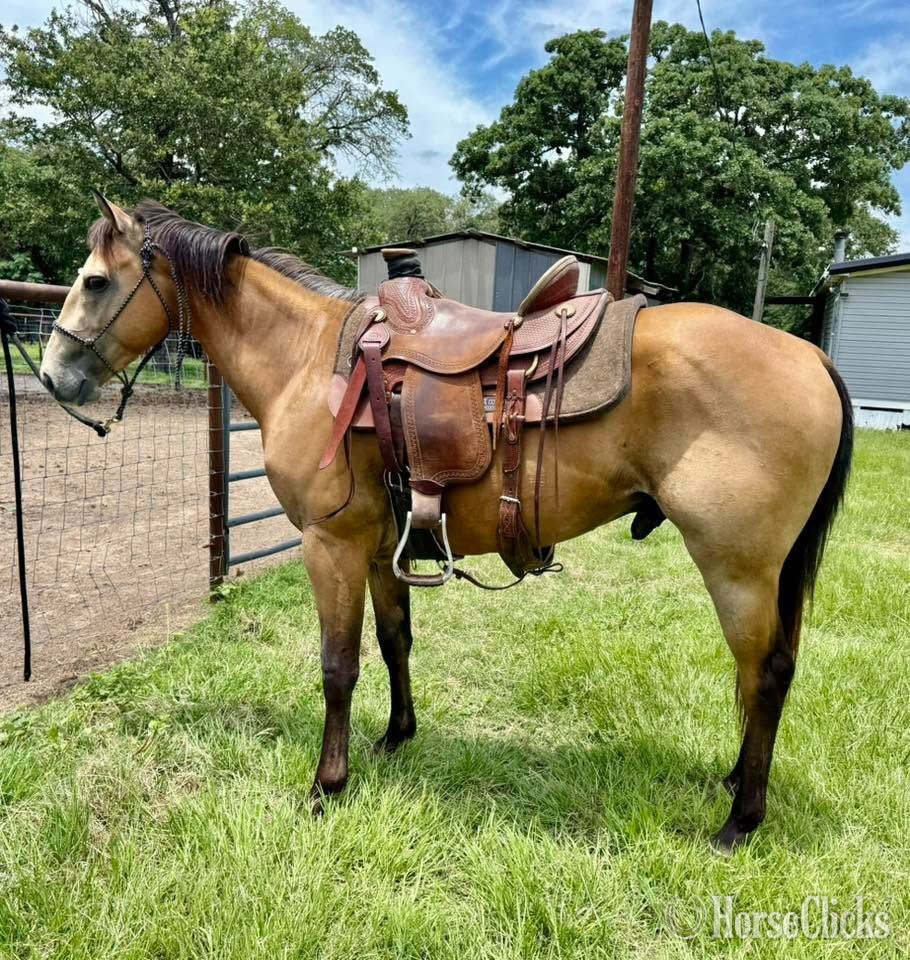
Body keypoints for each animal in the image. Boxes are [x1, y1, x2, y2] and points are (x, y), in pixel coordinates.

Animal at [40, 195, 853, 851]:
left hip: (737, 567)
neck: (310, 360)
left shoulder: (330, 547)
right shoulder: (379, 548)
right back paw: (736, 781)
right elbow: (394, 642)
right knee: (767, 673)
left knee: (764, 674)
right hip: (770, 574)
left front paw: (325, 786)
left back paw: (740, 820)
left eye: (96, 281)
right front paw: (396, 737)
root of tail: (810, 356)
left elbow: (338, 667)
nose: (53, 376)